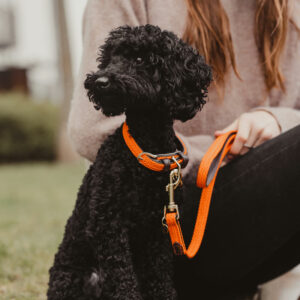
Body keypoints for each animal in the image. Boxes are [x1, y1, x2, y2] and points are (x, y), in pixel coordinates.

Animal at [47, 24, 211, 298]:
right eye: (110, 58)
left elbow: (160, 277)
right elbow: (123, 280)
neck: (146, 149)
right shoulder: (108, 227)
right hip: (75, 279)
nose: (100, 81)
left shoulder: (157, 233)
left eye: (140, 59)